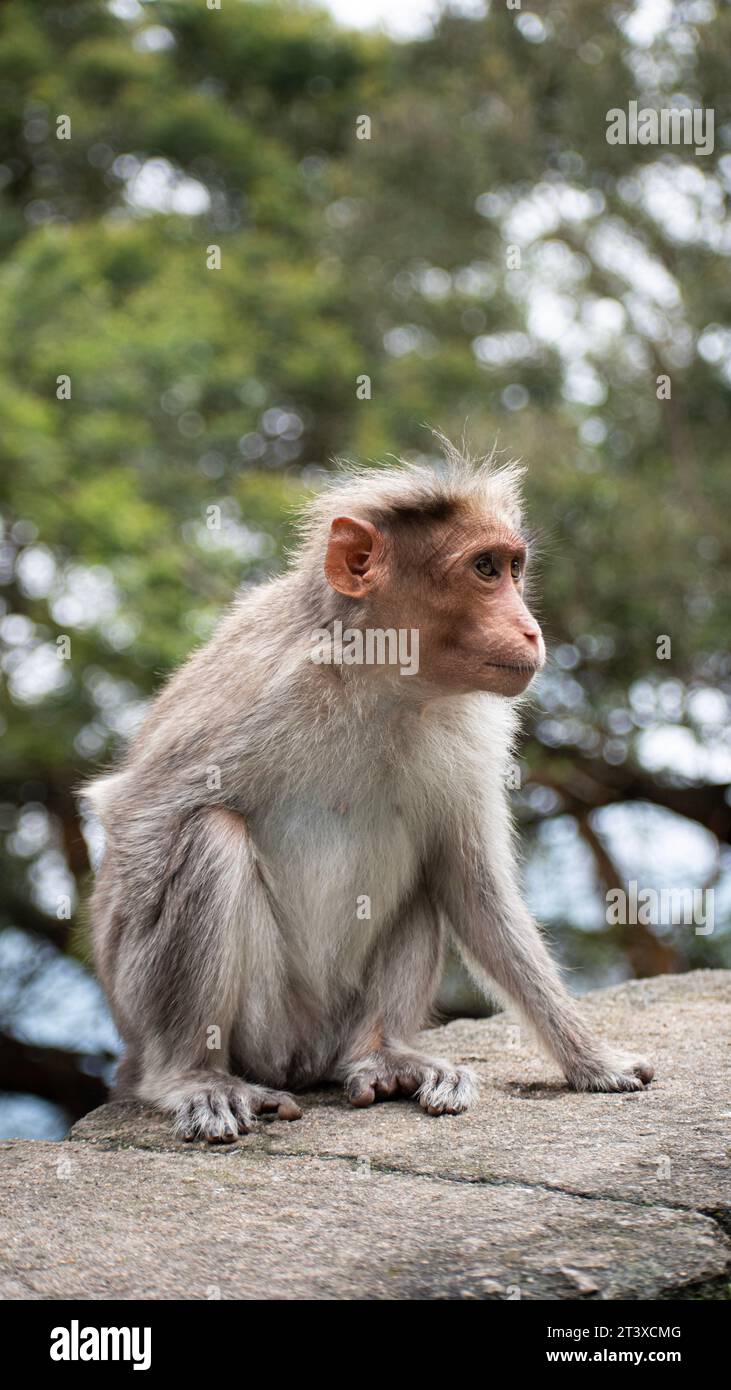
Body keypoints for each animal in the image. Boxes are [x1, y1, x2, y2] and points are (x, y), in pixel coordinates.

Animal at [83, 442, 655, 1139]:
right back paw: (189, 1071)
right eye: (485, 569)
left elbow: (471, 881)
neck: (384, 681)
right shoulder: (261, 687)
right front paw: (168, 1069)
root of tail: (305, 1057)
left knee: (429, 872)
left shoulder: (471, 729)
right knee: (210, 834)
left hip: (334, 1025)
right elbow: (138, 808)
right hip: (267, 1026)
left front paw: (590, 1059)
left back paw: (381, 1057)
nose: (531, 631)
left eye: (515, 568)